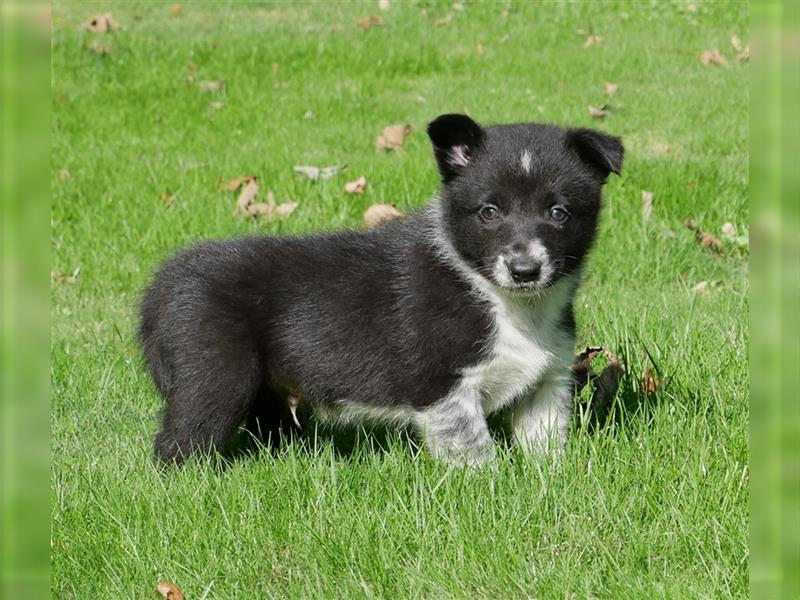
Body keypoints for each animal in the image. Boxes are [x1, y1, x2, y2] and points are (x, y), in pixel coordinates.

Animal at [139, 115, 624, 466]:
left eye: (558, 212)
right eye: (489, 211)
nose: (525, 269)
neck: (503, 301)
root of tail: (160, 285)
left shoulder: (547, 381)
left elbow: (546, 444)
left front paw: (551, 482)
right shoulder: (441, 384)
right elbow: (472, 447)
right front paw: (491, 492)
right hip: (216, 375)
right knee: (180, 442)